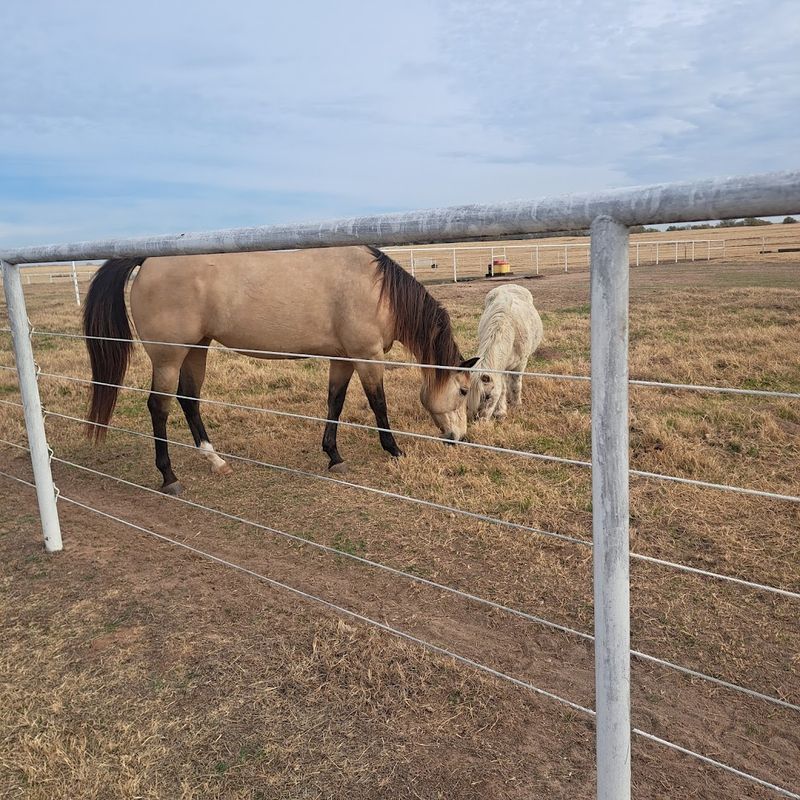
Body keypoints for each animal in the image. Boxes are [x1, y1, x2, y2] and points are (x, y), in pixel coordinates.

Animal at [83, 245, 478, 495]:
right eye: (462, 390)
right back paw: (168, 476)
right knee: (158, 407)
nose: (458, 439)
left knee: (188, 400)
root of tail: (149, 258)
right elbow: (378, 403)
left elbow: (335, 403)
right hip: (169, 357)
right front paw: (394, 450)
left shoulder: (343, 359)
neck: (377, 289)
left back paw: (215, 460)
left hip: (197, 350)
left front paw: (333, 456)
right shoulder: (366, 357)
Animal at [467, 284, 543, 422]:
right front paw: (500, 413)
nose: (476, 421)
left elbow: (516, 384)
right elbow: (502, 389)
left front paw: (516, 404)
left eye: (487, 396)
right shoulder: (500, 369)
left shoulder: (520, 364)